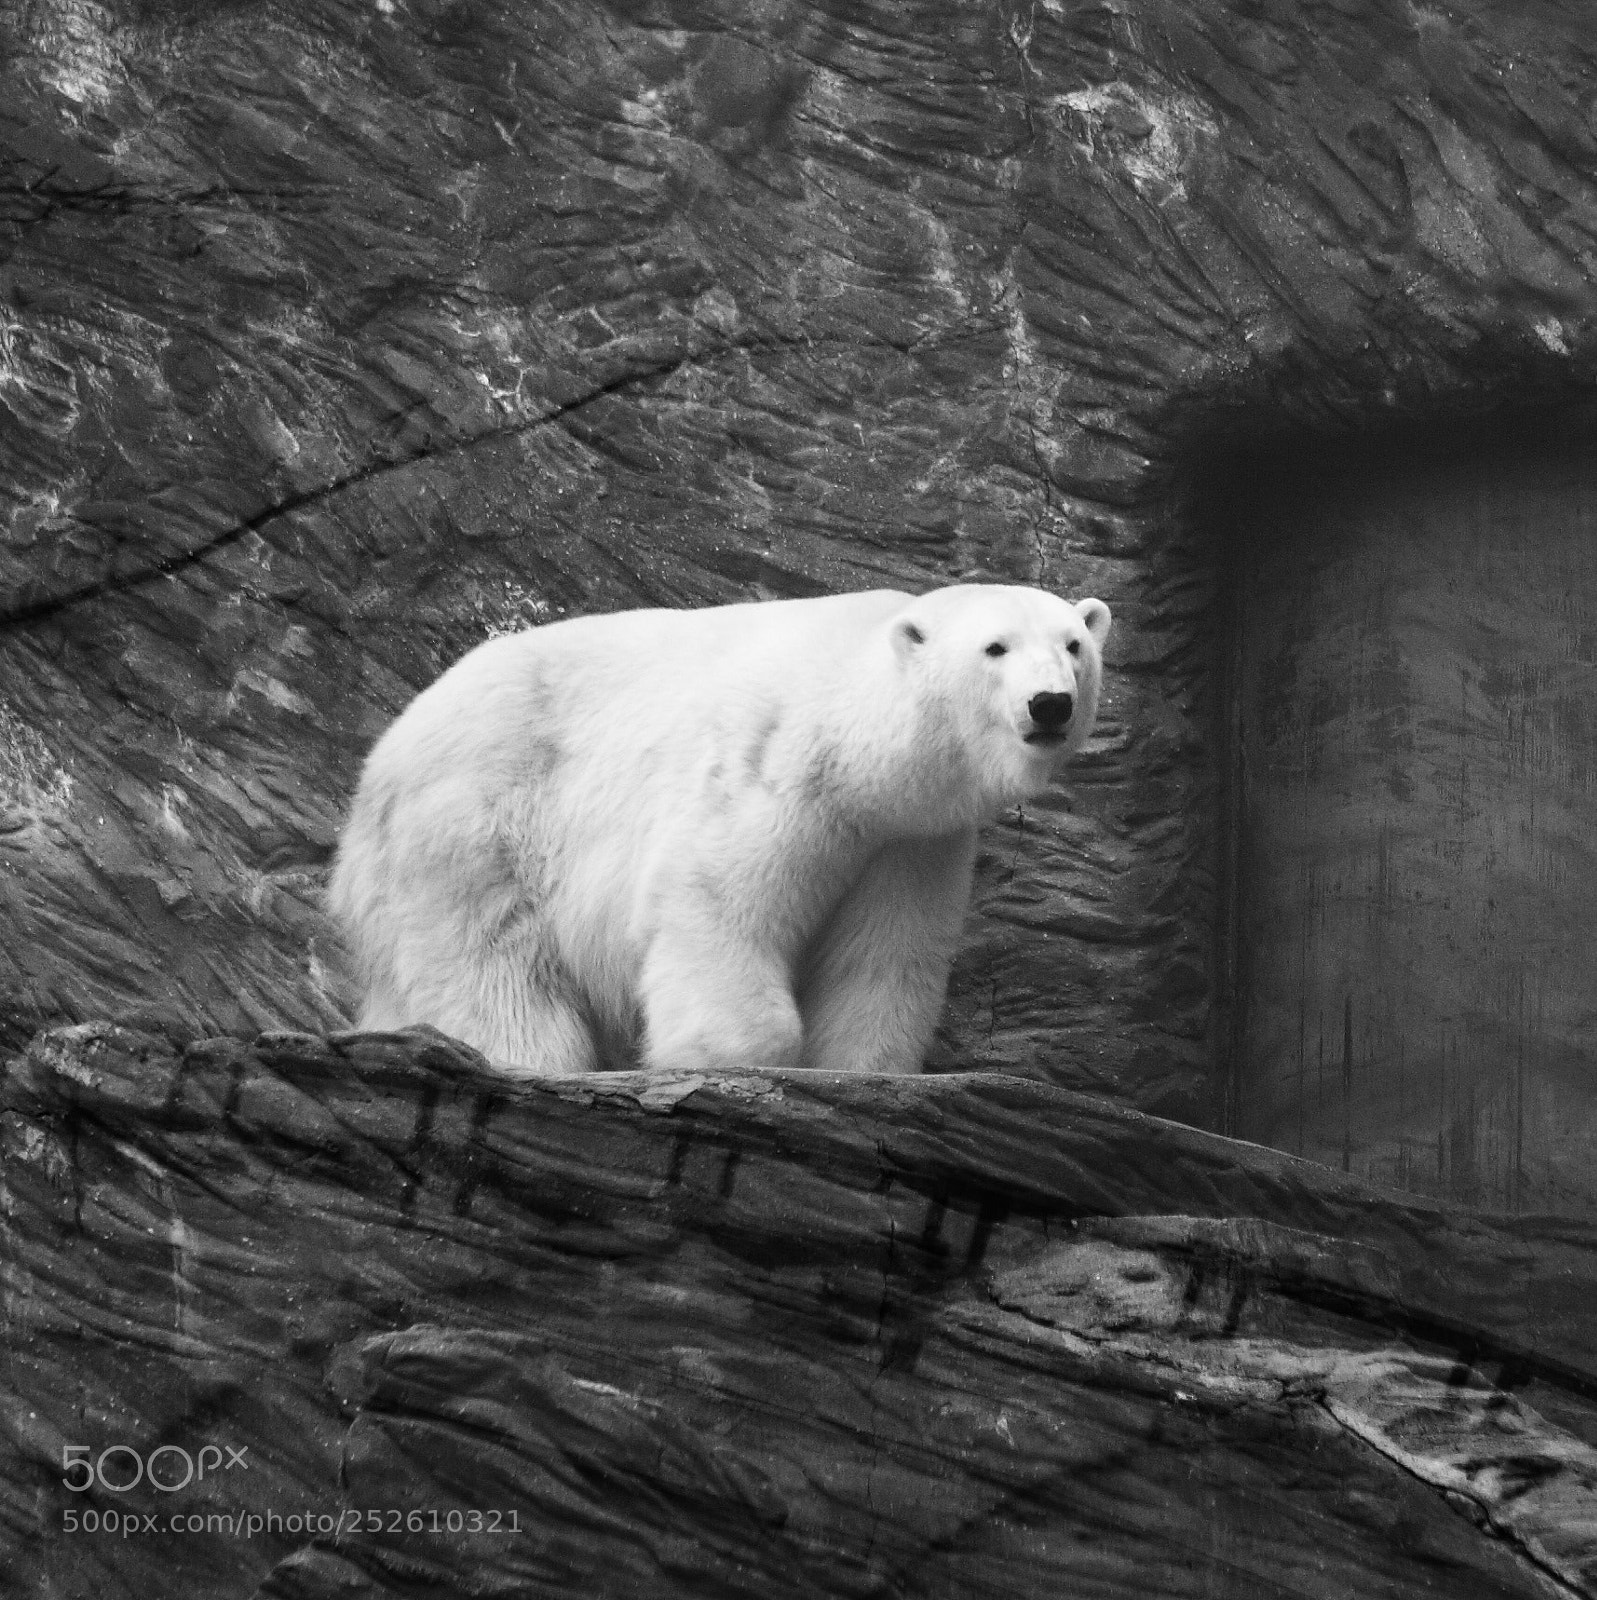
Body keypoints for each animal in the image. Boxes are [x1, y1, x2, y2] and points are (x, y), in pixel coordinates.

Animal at [329, 584, 1110, 1078]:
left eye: (1074, 644)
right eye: (995, 648)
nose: (1050, 704)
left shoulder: (909, 841)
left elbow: (882, 956)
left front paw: (861, 1067)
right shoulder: (773, 767)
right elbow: (716, 904)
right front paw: (728, 1054)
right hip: (478, 817)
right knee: (490, 953)